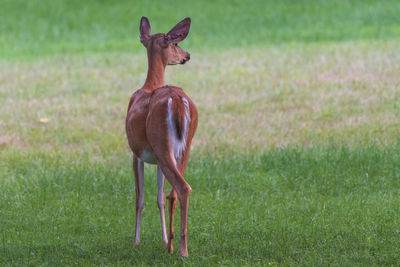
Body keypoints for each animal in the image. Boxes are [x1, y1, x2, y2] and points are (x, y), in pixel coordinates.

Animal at [126, 16, 198, 258]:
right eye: (176, 44)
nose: (187, 55)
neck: (149, 85)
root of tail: (176, 101)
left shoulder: (136, 153)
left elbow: (139, 199)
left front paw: (136, 242)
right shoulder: (155, 159)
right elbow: (158, 199)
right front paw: (164, 238)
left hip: (162, 144)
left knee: (182, 188)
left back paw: (183, 250)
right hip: (183, 148)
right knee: (174, 192)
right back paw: (171, 246)